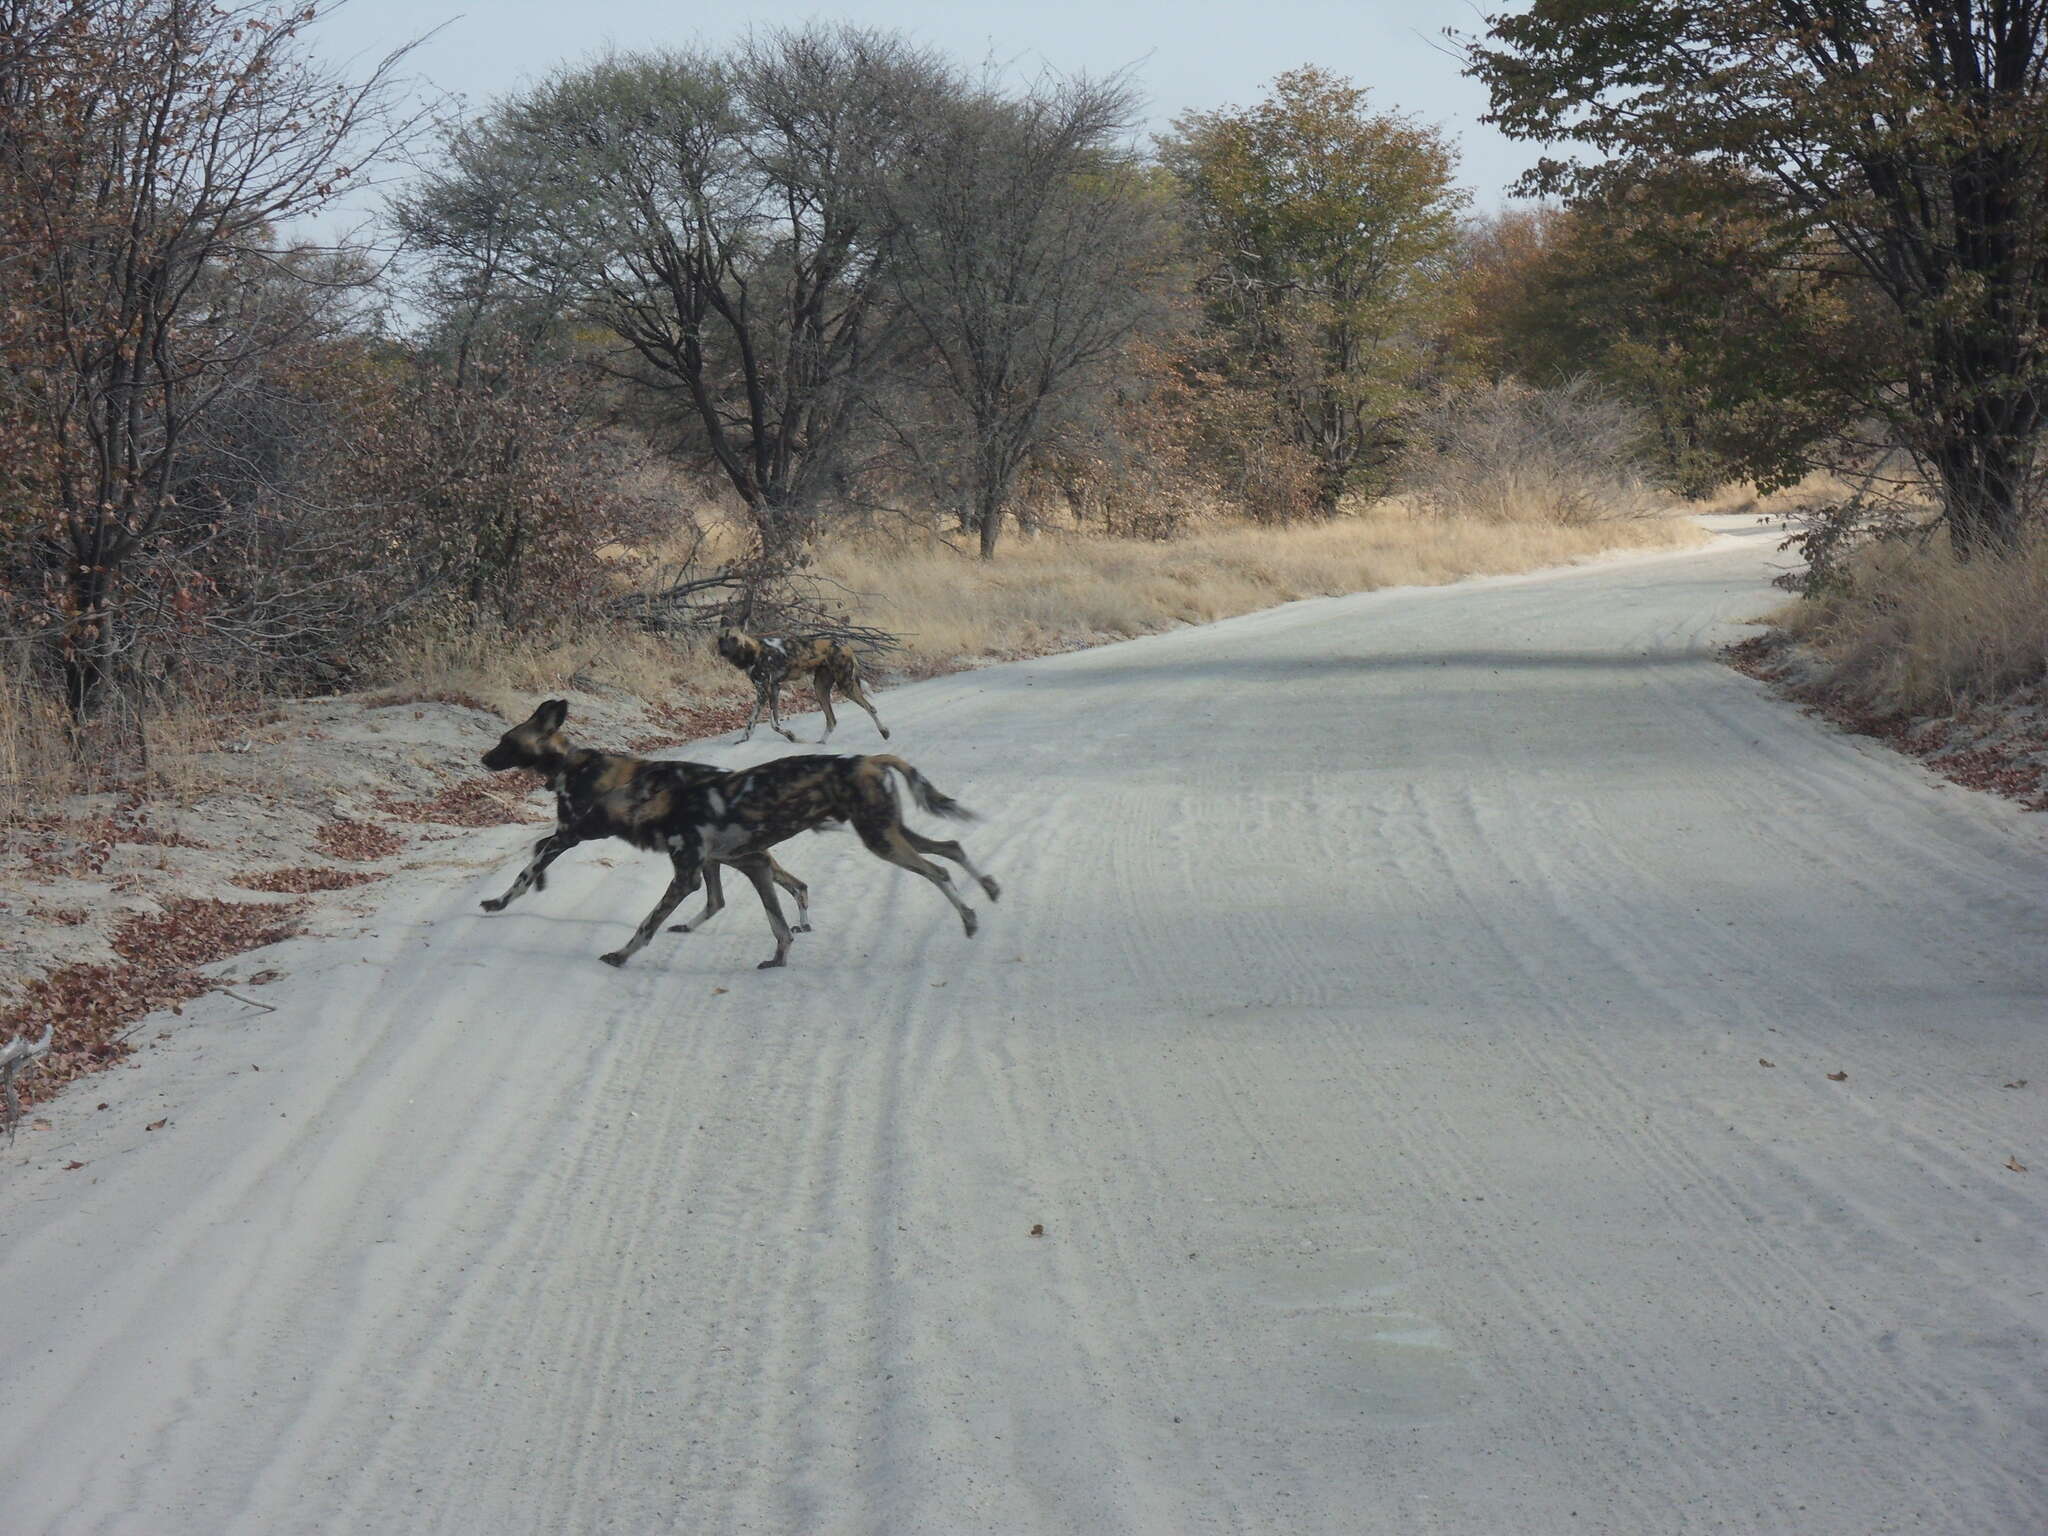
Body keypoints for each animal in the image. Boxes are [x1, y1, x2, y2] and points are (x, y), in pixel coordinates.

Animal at [479, 700, 991, 966]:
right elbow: (775, 924)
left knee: (936, 870)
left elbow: (642, 920)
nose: (483, 758)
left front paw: (620, 955)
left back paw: (970, 917)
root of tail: (868, 759)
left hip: (881, 840)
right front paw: (780, 958)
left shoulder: (591, 841)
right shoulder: (745, 863)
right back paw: (987, 891)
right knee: (949, 849)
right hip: (886, 833)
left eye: (504, 741)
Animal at [712, 626, 888, 745]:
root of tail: (845, 645)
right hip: (820, 689)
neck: (753, 652)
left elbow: (773, 723)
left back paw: (885, 732)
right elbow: (752, 722)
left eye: (733, 638)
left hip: (845, 686)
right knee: (832, 720)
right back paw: (820, 744)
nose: (724, 650)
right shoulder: (769, 691)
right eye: (721, 639)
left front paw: (792, 736)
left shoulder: (768, 690)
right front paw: (743, 740)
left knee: (870, 708)